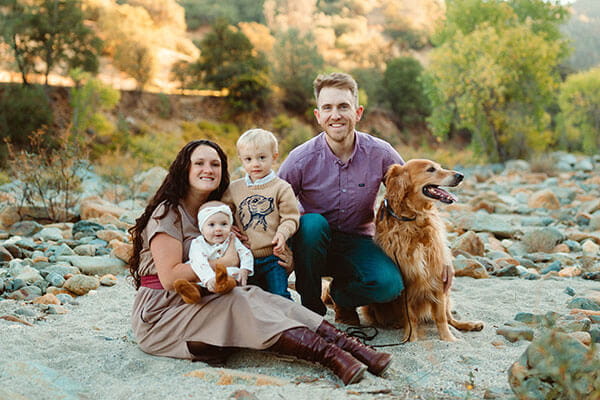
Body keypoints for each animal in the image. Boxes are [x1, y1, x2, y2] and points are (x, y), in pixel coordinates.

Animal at [366, 159, 482, 340]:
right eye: (431, 169)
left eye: (440, 167)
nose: (460, 175)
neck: (414, 219)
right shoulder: (405, 281)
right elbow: (410, 317)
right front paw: (411, 339)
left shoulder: (437, 275)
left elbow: (441, 317)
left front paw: (448, 339)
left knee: (449, 317)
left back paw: (470, 325)